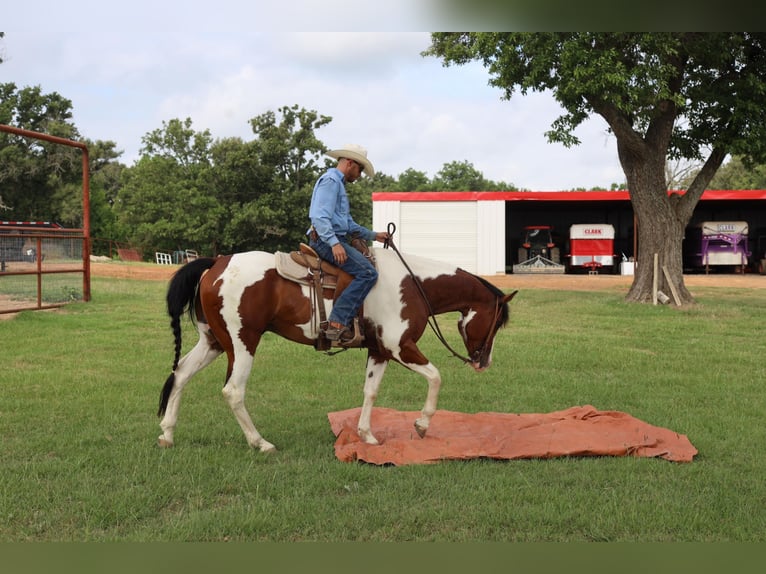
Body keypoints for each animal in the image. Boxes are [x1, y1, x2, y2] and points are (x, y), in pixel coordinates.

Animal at [158, 248, 516, 454]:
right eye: (497, 322)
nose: (484, 362)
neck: (414, 285)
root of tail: (216, 263)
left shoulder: (380, 351)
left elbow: (370, 391)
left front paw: (367, 435)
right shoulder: (400, 347)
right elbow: (436, 377)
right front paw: (422, 425)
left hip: (214, 341)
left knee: (181, 373)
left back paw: (167, 434)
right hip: (242, 341)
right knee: (233, 390)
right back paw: (260, 443)